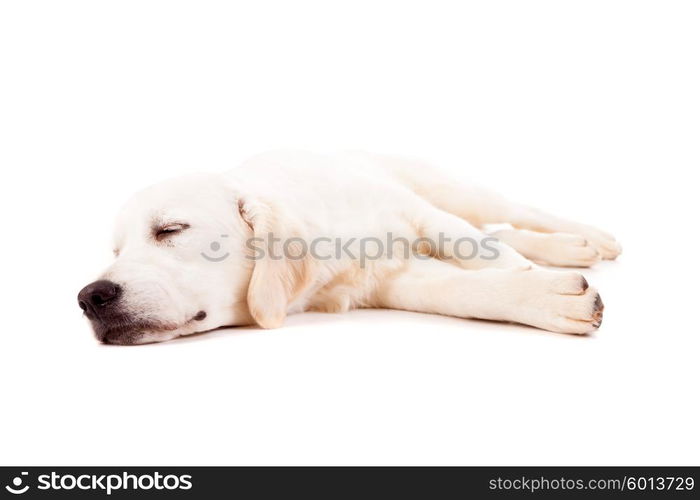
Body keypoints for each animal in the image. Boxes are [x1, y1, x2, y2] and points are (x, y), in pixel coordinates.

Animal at [78, 148, 616, 344]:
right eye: (116, 253)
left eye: (170, 230)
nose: (89, 297)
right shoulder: (389, 281)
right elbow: (460, 288)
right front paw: (542, 296)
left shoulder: (420, 215)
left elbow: (486, 252)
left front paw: (536, 281)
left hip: (449, 191)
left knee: (510, 215)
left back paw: (590, 238)